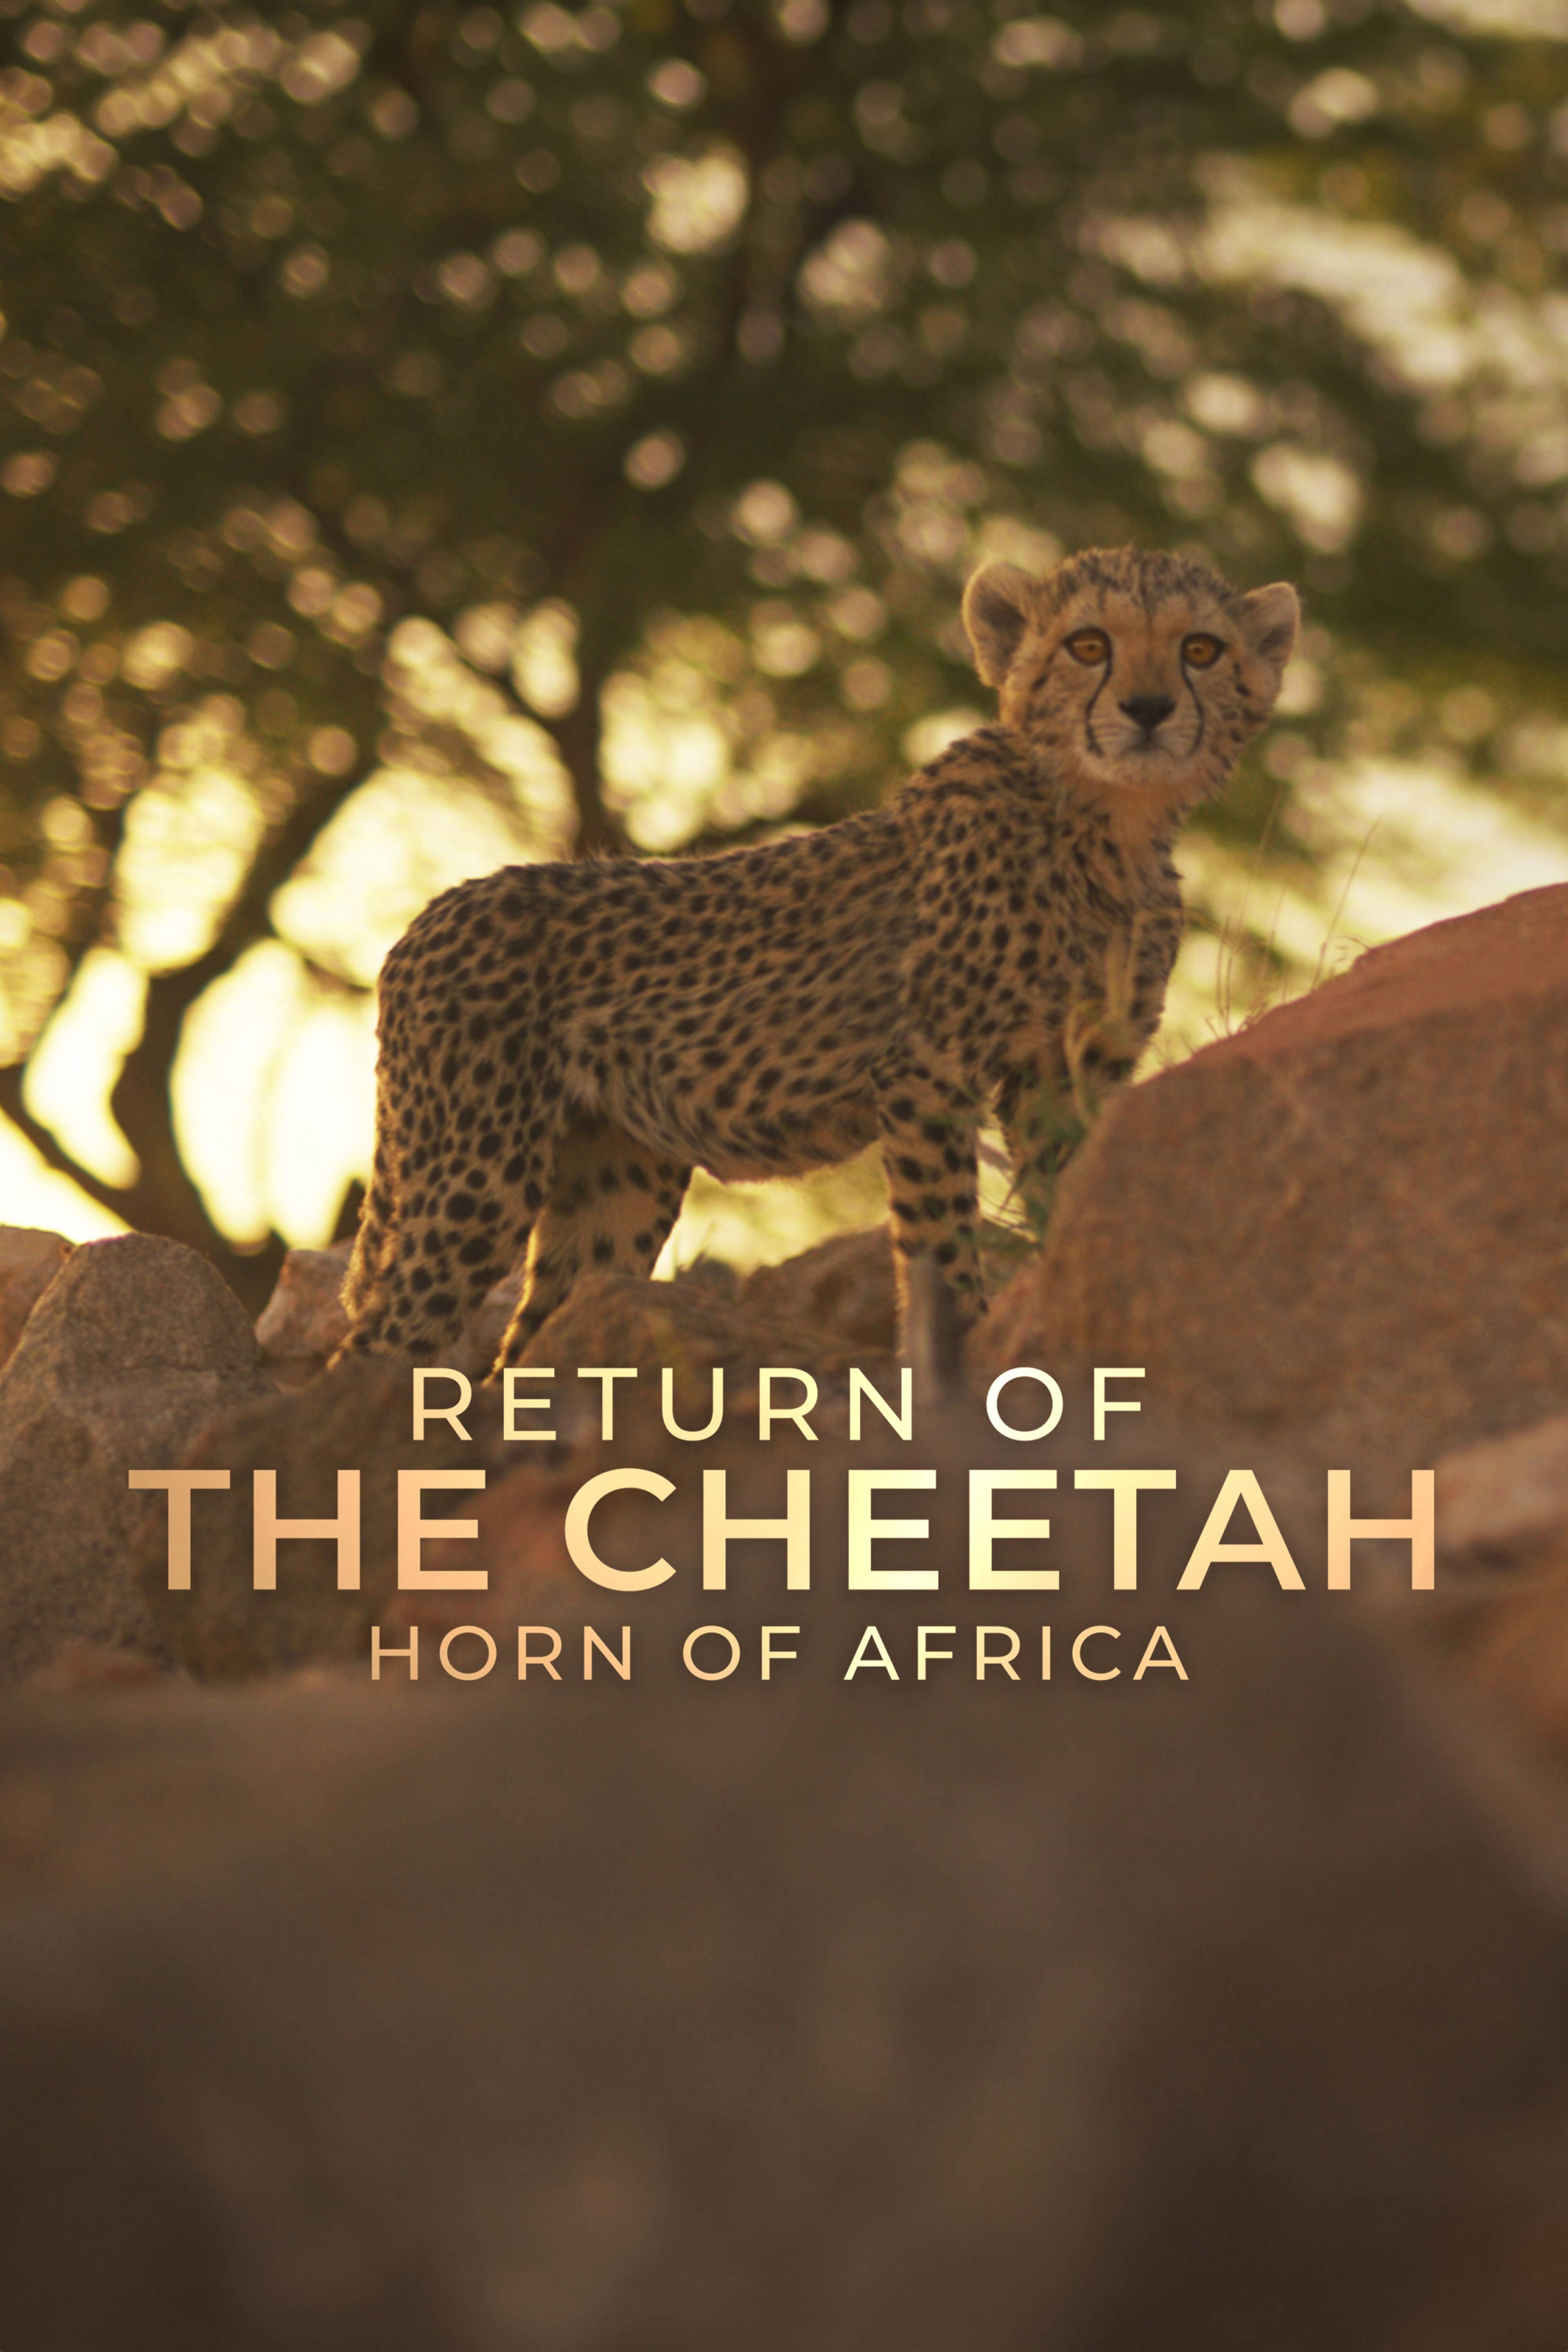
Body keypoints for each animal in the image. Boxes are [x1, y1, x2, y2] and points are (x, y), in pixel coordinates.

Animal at [337, 545, 1299, 1374]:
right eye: (1089, 645)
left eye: (1201, 649)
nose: (1149, 708)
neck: (1109, 826)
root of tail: (428, 919)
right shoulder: (926, 1071)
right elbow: (939, 1235)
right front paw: (961, 1350)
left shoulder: (1074, 1069)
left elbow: (1075, 1195)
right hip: (477, 1173)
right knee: (384, 1342)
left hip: (615, 1176)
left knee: (529, 1344)